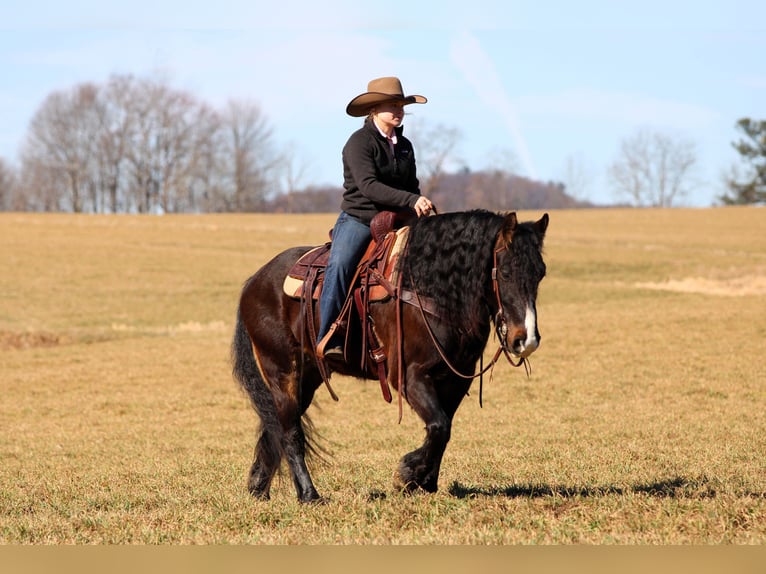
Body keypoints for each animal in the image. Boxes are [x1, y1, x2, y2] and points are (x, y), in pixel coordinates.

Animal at [231, 209, 549, 502]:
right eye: (505, 272)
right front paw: (407, 473)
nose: (526, 339)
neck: (431, 288)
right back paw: (309, 495)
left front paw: (424, 483)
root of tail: (254, 281)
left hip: (307, 376)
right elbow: (439, 426)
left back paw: (259, 487)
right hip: (281, 369)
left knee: (277, 424)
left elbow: (443, 429)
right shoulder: (409, 376)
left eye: (540, 274)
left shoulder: (455, 380)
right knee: (290, 430)